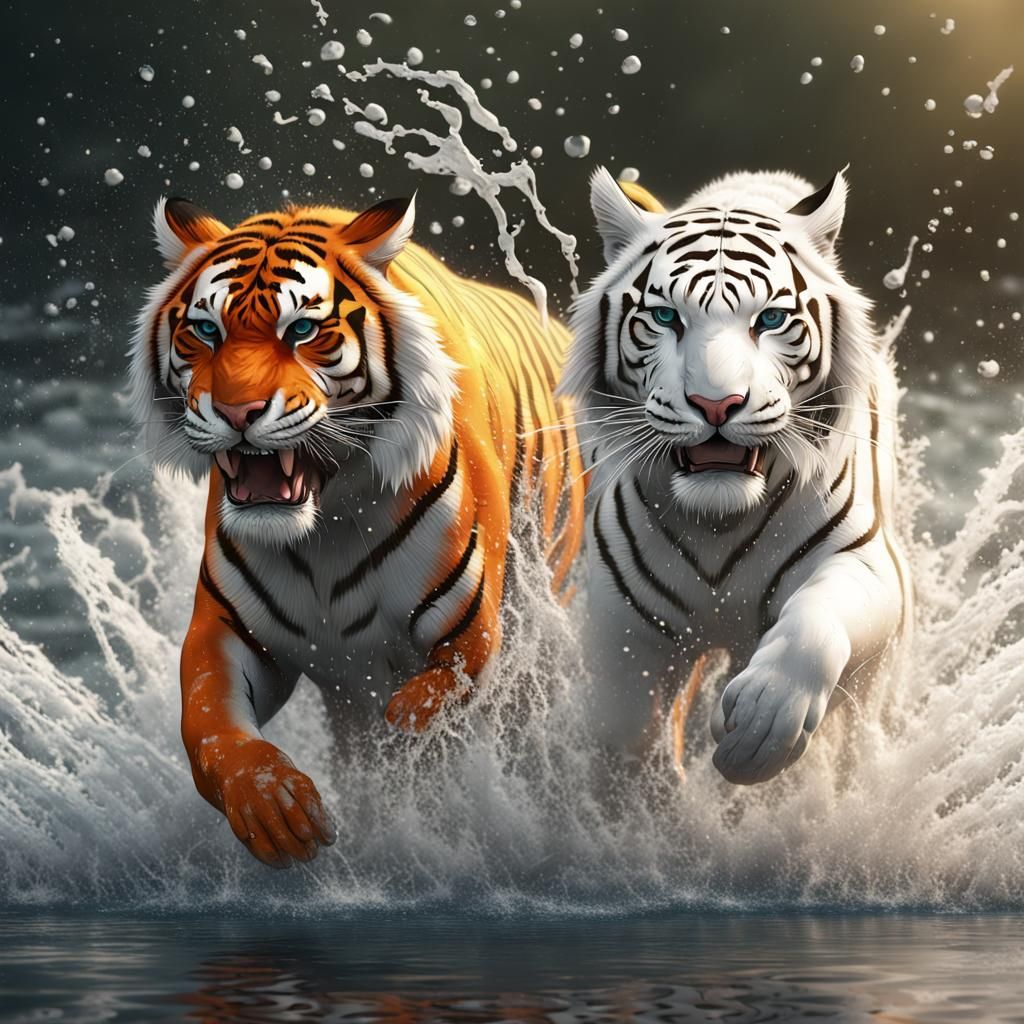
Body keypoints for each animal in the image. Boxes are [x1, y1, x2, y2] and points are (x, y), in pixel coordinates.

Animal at [131, 194, 584, 867]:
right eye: (207, 331)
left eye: (301, 330)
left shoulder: (471, 634)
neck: (330, 523)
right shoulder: (228, 631)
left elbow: (436, 705)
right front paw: (274, 807)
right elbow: (210, 727)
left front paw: (408, 749)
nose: (237, 412)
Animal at [558, 166, 910, 785]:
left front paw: (761, 727)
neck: (718, 519)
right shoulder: (623, 614)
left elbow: (815, 621)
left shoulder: (867, 562)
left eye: (769, 319)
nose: (716, 404)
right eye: (666, 317)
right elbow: (622, 723)